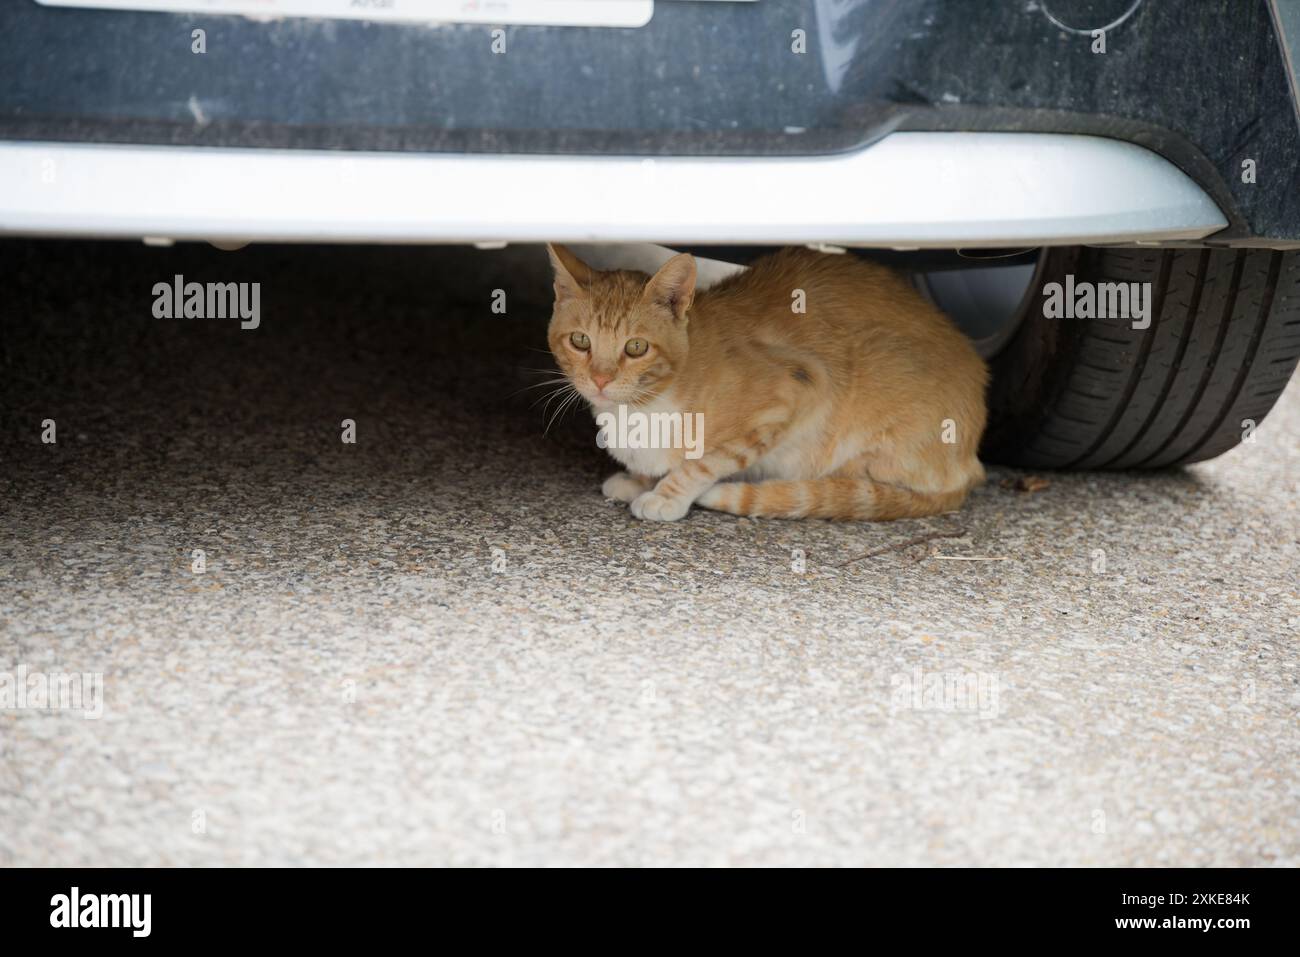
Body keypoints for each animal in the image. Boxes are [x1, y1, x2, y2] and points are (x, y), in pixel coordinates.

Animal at [546, 243, 982, 520]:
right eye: (580, 341)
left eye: (636, 347)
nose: (600, 379)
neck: (643, 407)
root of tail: (970, 461)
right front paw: (639, 480)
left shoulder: (800, 387)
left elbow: (705, 463)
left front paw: (667, 494)